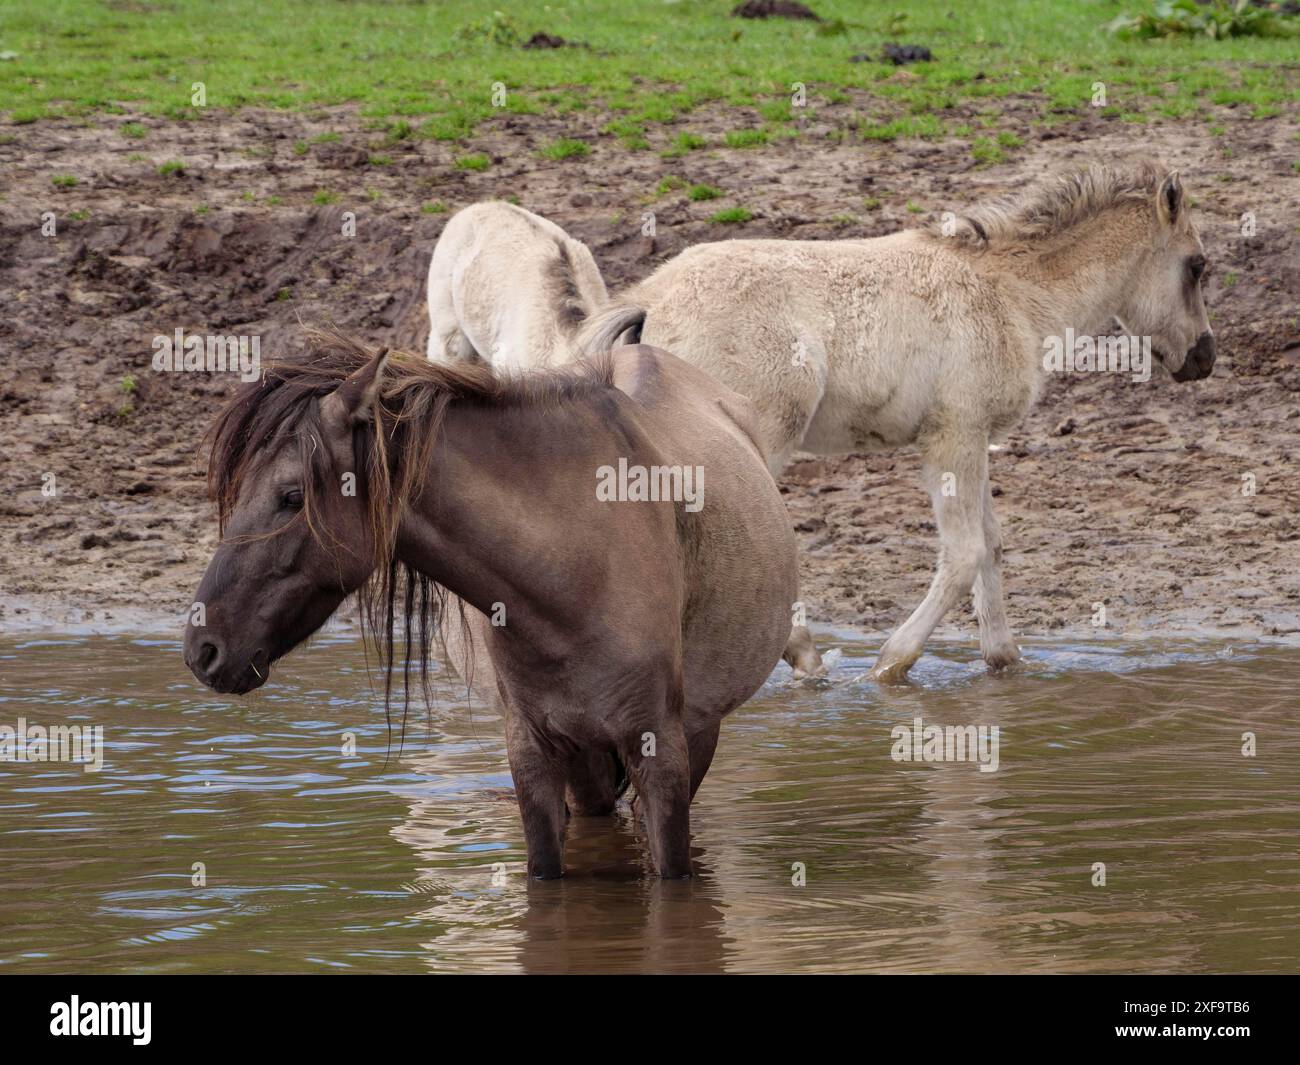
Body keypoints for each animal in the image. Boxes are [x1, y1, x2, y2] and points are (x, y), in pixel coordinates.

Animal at [182, 335, 790, 884]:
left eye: (291, 496)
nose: (201, 651)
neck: (576, 571)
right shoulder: (533, 755)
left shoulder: (661, 755)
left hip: (697, 734)